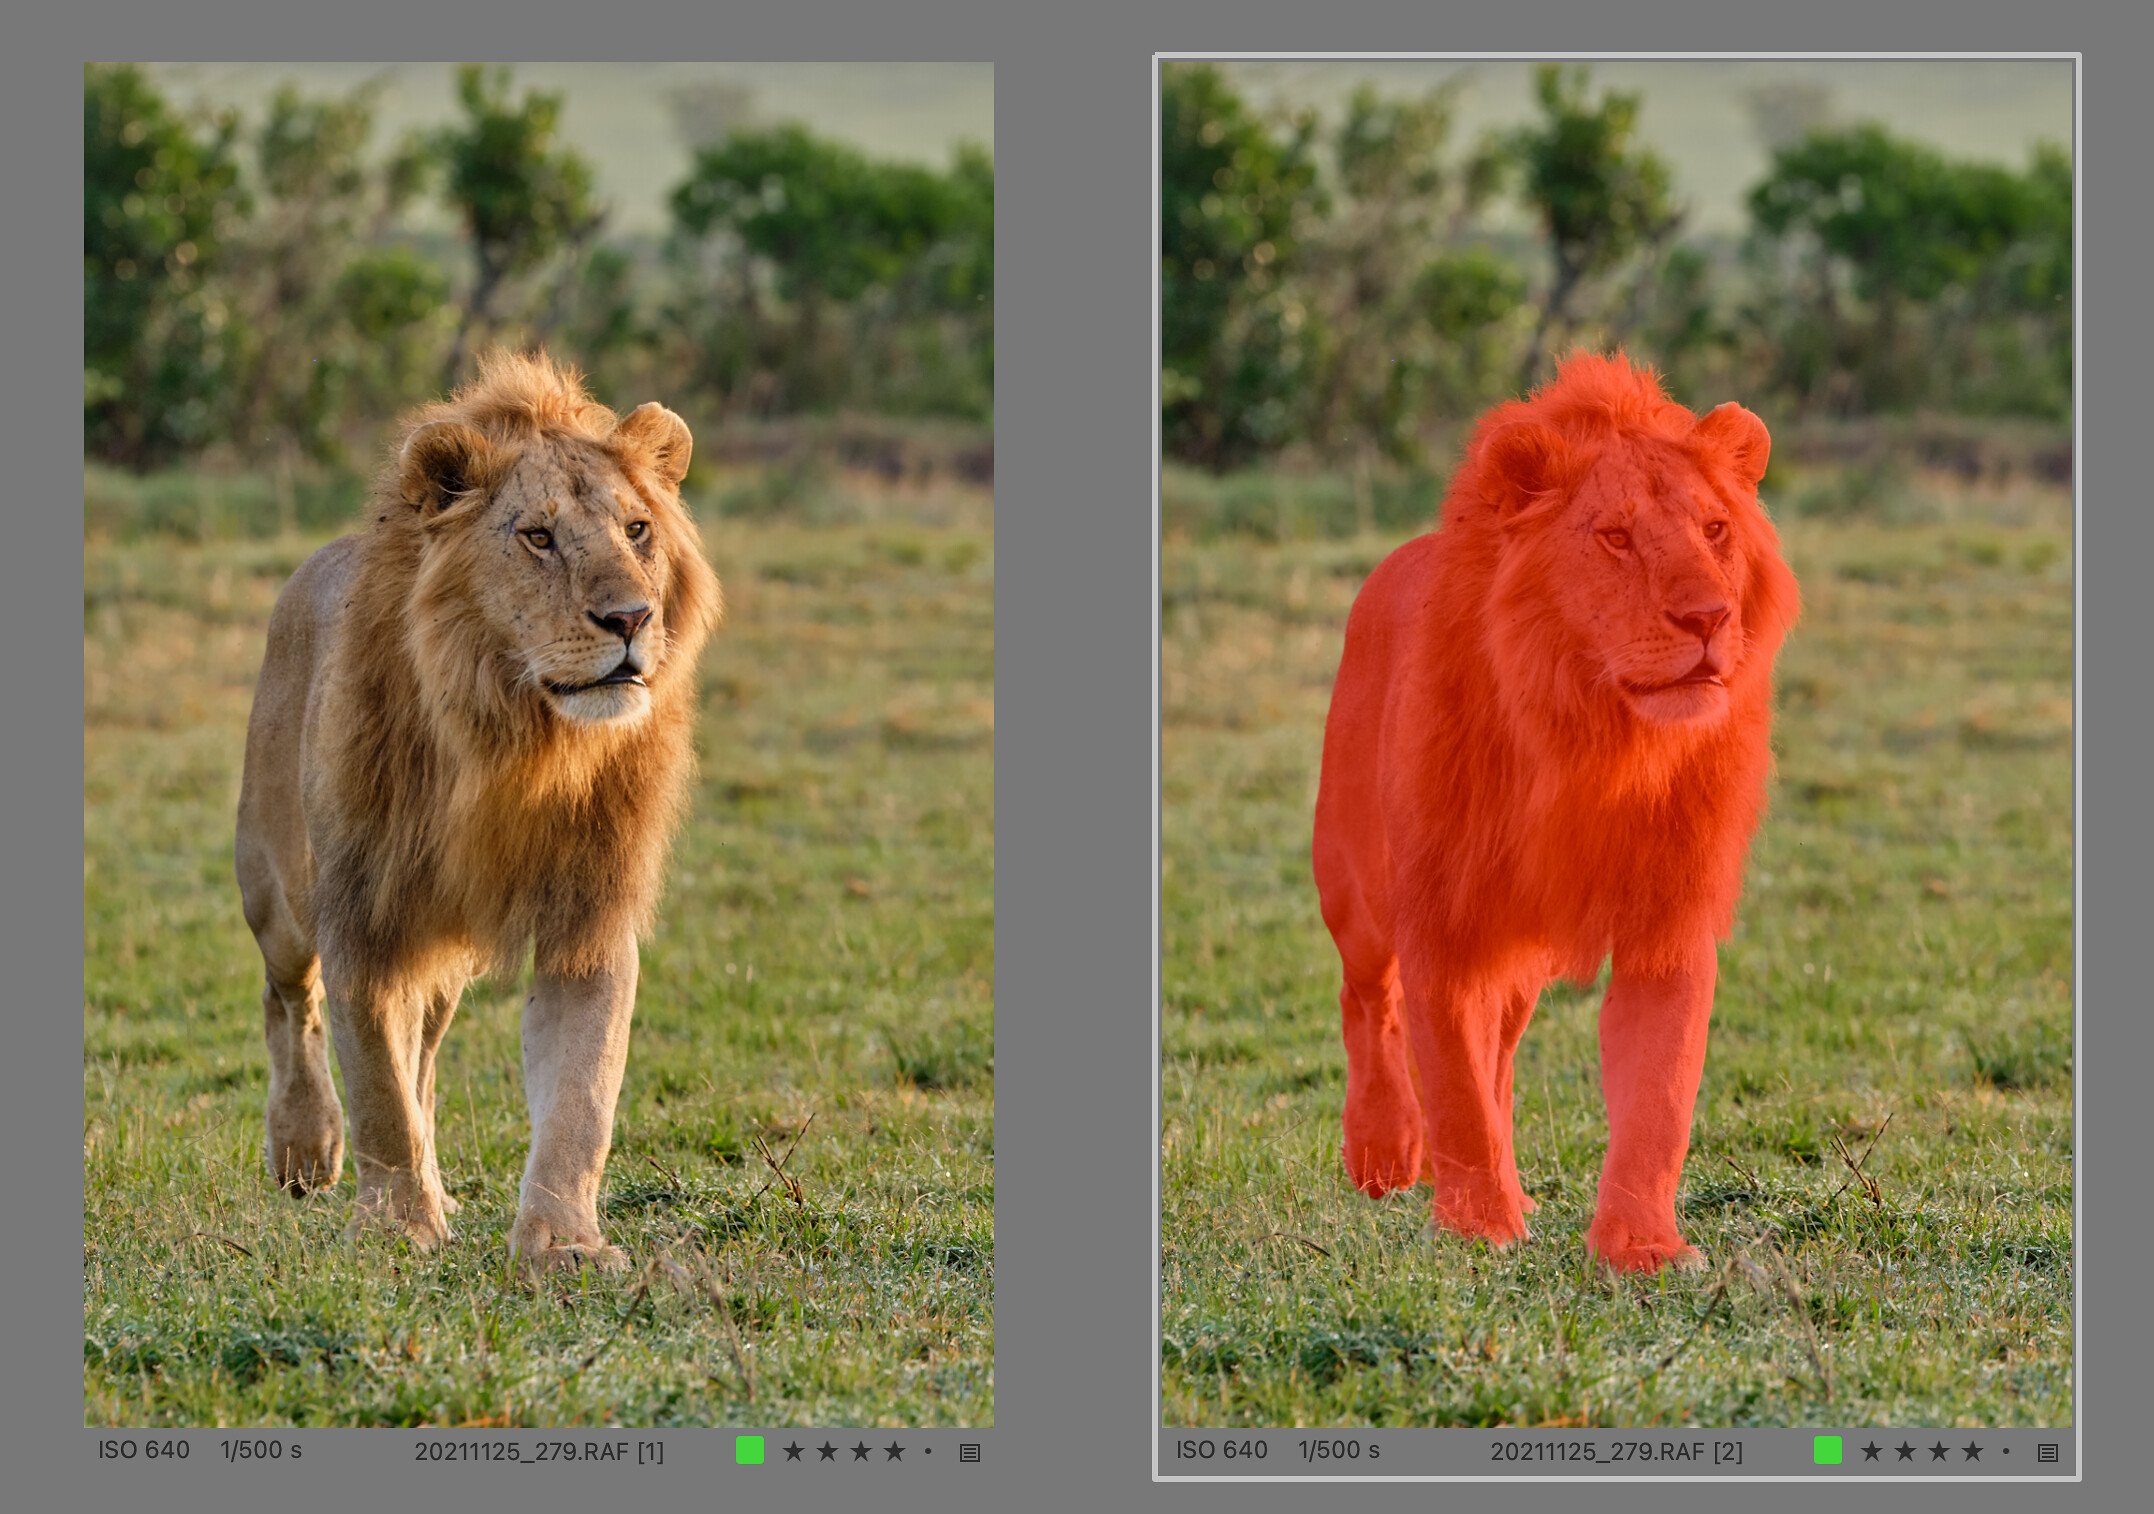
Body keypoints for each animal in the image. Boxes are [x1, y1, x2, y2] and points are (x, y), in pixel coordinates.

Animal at [235, 348, 723, 1274]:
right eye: (538, 537)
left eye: (638, 530)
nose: (631, 617)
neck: (517, 736)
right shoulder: (363, 910)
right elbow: (376, 1087)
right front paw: (398, 1228)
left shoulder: (587, 916)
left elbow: (580, 1097)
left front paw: (564, 1245)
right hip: (275, 887)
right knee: (290, 1001)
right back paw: (305, 1149)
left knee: (422, 1054)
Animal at [1309, 348, 1800, 1274]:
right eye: (1615, 536)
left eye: (1715, 530)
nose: (1709, 616)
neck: (1596, 740)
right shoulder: (1444, 918)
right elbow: (1454, 1090)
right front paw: (1479, 1229)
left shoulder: (1667, 925)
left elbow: (1657, 1099)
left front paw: (1642, 1248)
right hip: (1352, 885)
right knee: (1369, 1002)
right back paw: (1384, 1155)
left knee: (1498, 1055)